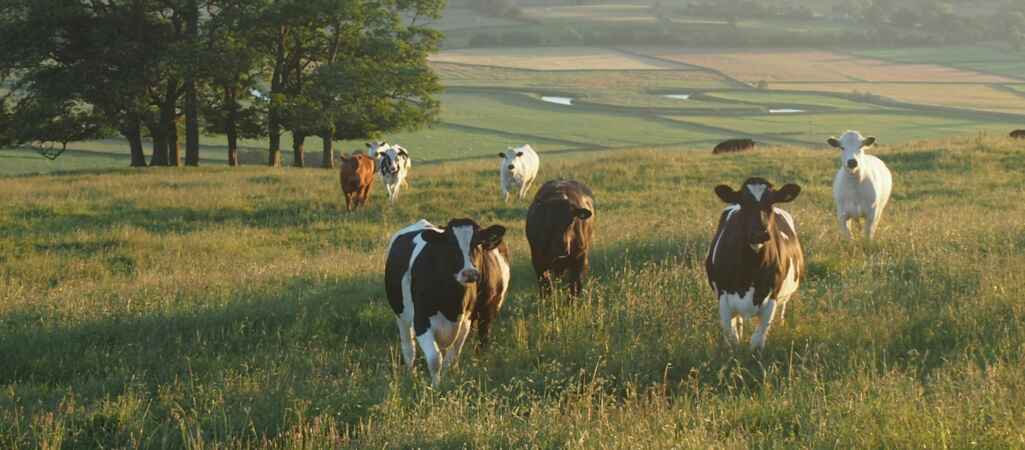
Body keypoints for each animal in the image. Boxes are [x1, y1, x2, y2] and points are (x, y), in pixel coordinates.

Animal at [385, 219, 508, 387]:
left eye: (477, 242)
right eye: (451, 244)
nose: (469, 273)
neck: (452, 303)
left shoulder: (466, 322)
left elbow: (451, 358)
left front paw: (449, 381)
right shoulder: (421, 321)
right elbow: (435, 359)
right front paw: (435, 386)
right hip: (401, 316)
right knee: (409, 349)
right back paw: (411, 375)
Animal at [706, 177, 804, 350]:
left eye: (771, 203)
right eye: (744, 203)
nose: (759, 233)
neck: (750, 269)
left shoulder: (772, 297)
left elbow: (757, 341)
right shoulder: (723, 298)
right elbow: (732, 339)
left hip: (784, 298)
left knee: (782, 311)